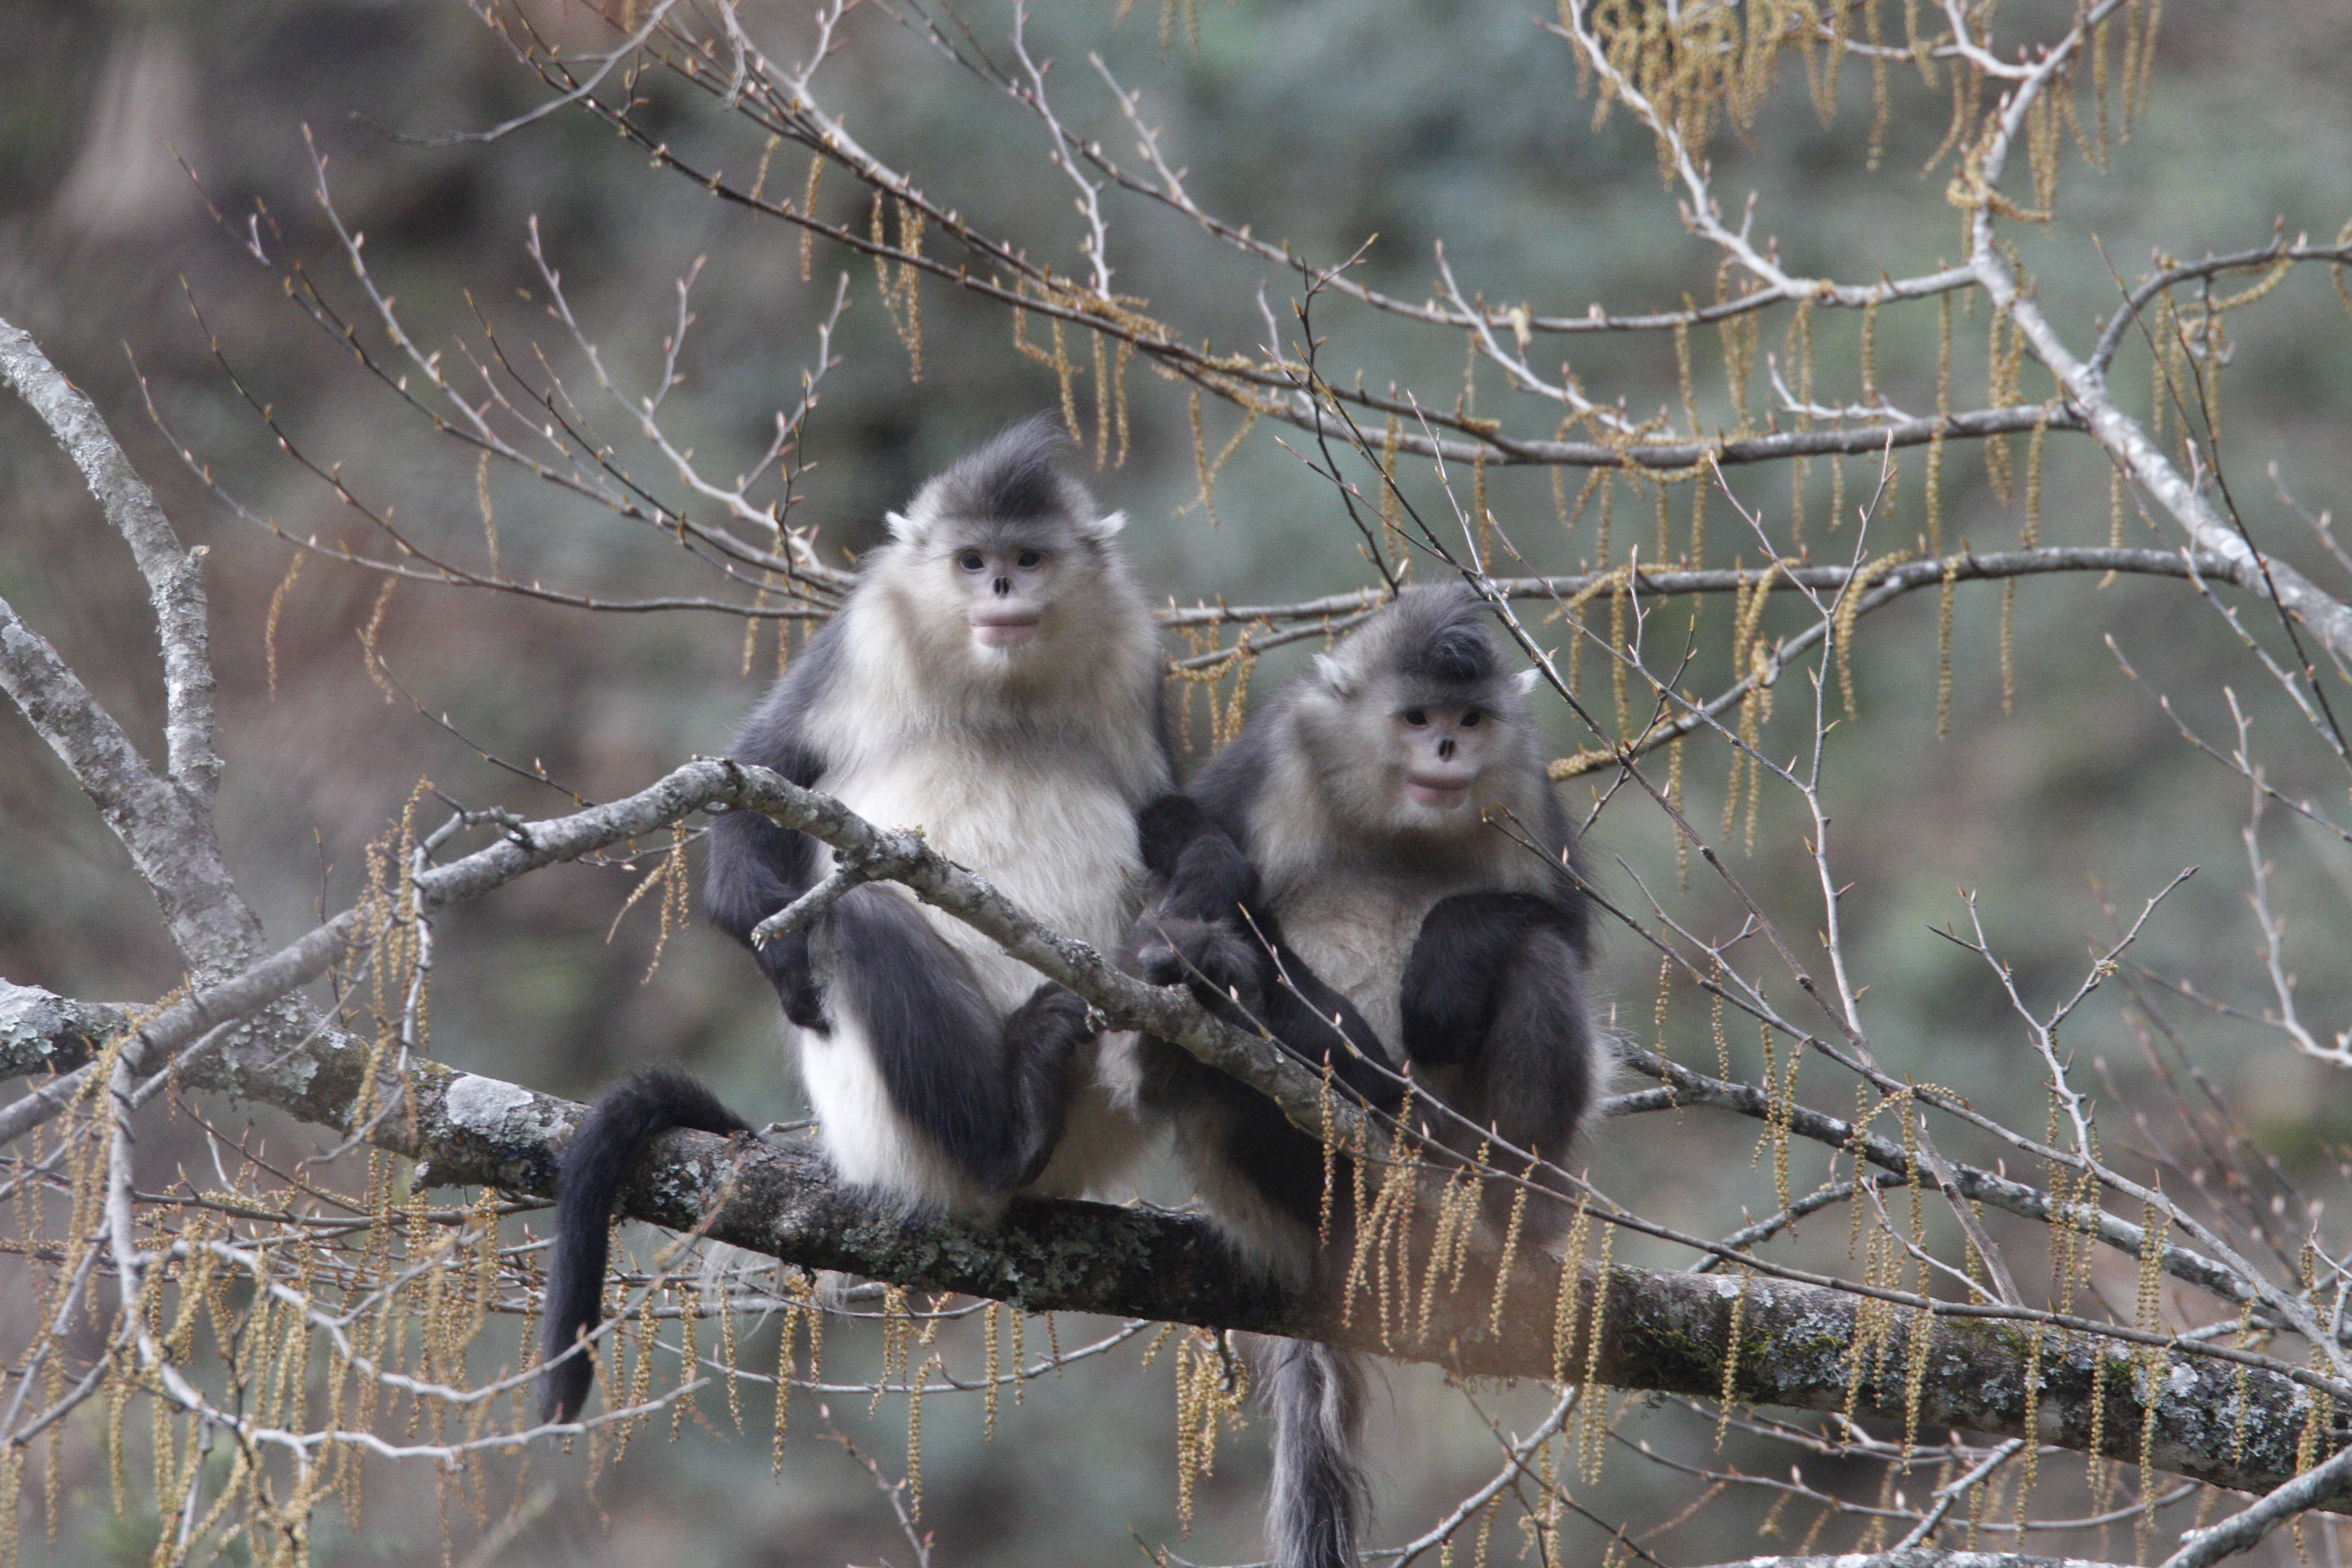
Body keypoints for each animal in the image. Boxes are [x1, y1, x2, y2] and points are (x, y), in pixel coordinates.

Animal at [540, 417, 1173, 1424]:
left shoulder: (1136, 659)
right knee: (866, 913)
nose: (1002, 590)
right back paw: (1011, 1129)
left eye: (1028, 558)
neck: (999, 693)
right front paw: (778, 949)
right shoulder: (864, 643)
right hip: (895, 1130)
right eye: (971, 561)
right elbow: (757, 779)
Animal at [1126, 583, 1606, 1568]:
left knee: (1536, 958)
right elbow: (1168, 879)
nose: (1448, 751)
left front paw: (1447, 959)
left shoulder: (1522, 785)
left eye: (1469, 719)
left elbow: (1561, 931)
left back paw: (1513, 1208)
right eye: (1417, 718)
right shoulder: (1281, 749)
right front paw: (1211, 926)